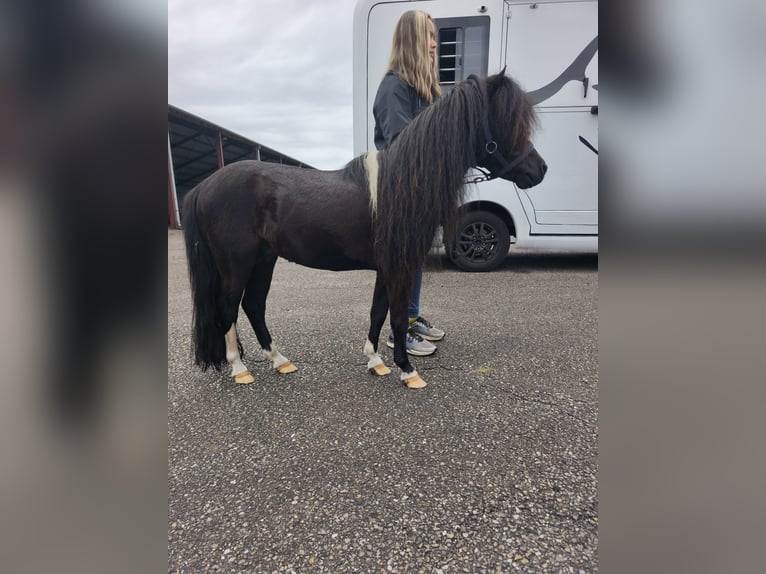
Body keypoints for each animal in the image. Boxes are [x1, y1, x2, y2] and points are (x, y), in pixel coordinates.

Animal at [181, 72, 547, 389]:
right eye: (509, 123)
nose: (540, 169)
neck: (403, 185)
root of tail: (204, 187)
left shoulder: (387, 267)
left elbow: (377, 312)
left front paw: (376, 362)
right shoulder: (400, 267)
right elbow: (396, 318)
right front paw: (408, 371)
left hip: (264, 260)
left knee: (254, 306)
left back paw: (280, 360)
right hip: (237, 264)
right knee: (227, 309)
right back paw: (240, 369)